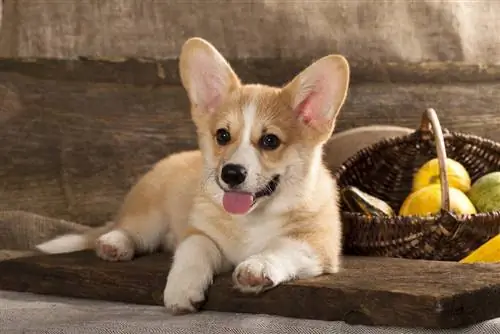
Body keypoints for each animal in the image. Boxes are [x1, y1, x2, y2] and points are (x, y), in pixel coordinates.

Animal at [37, 37, 350, 314]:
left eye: (270, 141)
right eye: (222, 135)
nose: (231, 173)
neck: (249, 220)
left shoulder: (317, 246)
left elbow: (281, 247)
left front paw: (257, 267)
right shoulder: (198, 233)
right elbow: (195, 248)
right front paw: (182, 289)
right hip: (150, 219)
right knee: (131, 231)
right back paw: (114, 244)